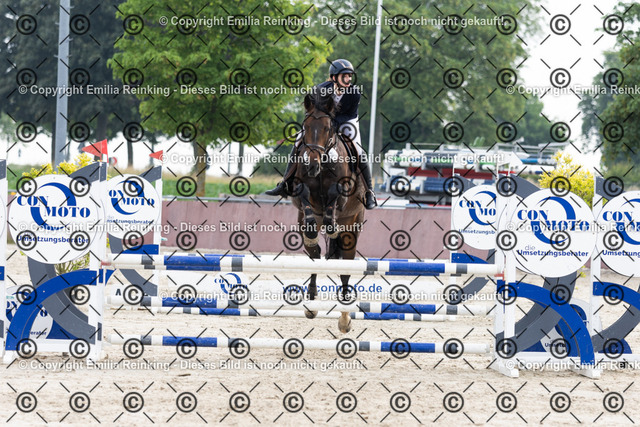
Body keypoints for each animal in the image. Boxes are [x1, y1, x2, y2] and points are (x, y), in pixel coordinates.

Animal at [290, 89, 366, 333]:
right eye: (305, 126)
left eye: (328, 128)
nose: (312, 164)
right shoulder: (301, 190)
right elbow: (306, 199)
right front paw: (314, 225)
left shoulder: (342, 194)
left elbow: (335, 198)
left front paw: (331, 225)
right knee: (314, 255)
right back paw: (311, 305)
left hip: (353, 228)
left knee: (345, 267)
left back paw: (345, 317)